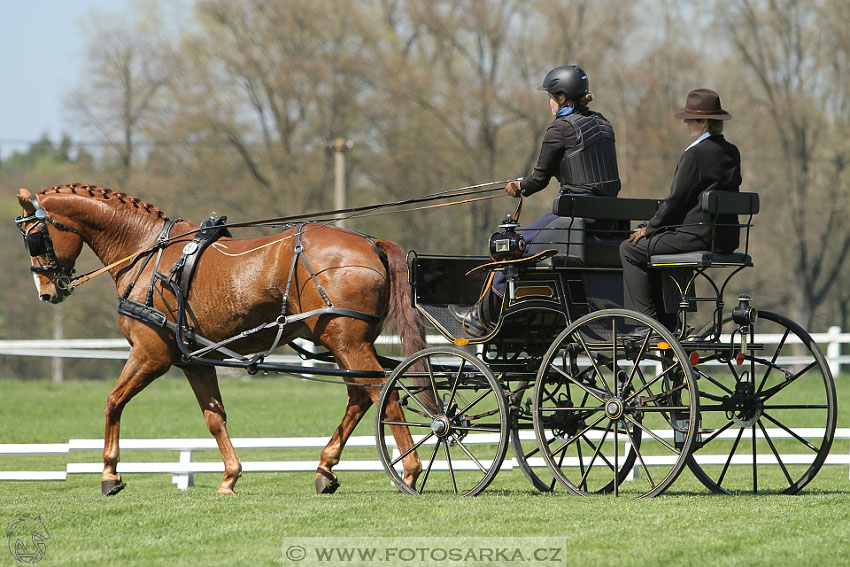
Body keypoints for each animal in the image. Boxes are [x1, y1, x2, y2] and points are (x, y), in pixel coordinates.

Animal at [13, 185, 424, 496]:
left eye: (35, 238)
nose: (46, 292)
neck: (148, 254)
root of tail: (371, 243)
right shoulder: (193, 361)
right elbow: (214, 418)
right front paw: (230, 477)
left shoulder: (150, 354)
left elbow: (113, 402)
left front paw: (109, 474)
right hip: (343, 342)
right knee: (361, 395)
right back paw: (326, 468)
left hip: (346, 341)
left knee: (381, 392)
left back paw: (409, 470)